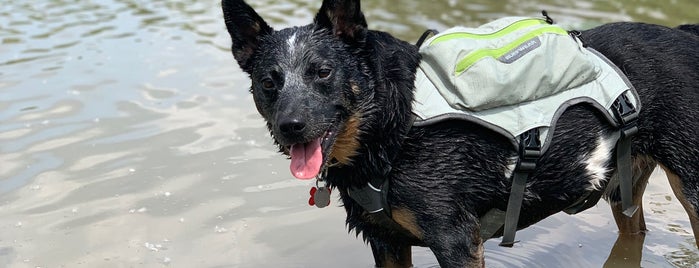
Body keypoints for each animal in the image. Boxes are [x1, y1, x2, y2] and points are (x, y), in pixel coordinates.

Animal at [223, 1, 699, 266]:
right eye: (268, 82)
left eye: (322, 72)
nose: (290, 127)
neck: (396, 129)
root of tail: (687, 34)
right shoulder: (386, 243)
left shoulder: (458, 244)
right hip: (623, 194)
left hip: (691, 189)